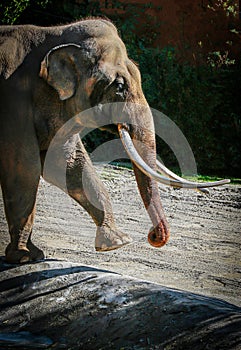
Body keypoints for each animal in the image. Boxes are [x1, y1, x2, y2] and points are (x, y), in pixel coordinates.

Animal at [0, 17, 230, 262]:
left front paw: (117, 242)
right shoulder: (13, 104)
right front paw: (25, 257)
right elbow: (24, 167)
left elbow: (68, 164)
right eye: (119, 86)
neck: (54, 33)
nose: (152, 235)